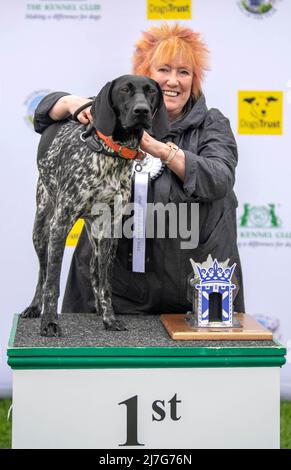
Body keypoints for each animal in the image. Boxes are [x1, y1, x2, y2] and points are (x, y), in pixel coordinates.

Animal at [21, 75, 169, 336]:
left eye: (151, 91)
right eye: (124, 90)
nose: (141, 110)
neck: (111, 154)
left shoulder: (111, 227)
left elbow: (105, 282)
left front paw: (109, 318)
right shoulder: (60, 225)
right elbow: (52, 283)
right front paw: (49, 322)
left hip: (98, 236)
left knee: (95, 271)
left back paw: (100, 308)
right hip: (41, 227)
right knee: (43, 271)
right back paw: (34, 307)